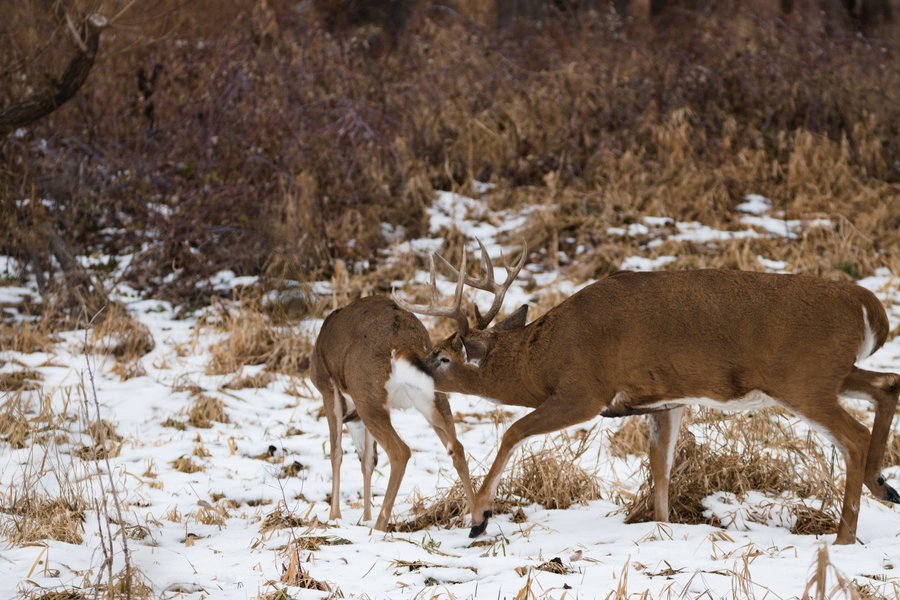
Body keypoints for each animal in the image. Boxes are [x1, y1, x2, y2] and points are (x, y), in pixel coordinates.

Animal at [310, 295, 476, 531]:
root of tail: (404, 343)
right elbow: (368, 460)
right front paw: (365, 517)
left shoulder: (328, 387)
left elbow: (336, 453)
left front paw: (335, 517)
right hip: (433, 394)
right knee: (457, 448)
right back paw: (478, 519)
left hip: (366, 394)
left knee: (400, 451)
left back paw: (379, 527)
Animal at [394, 240, 900, 544]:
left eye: (442, 356)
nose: (414, 367)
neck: (544, 357)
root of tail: (869, 307)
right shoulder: (665, 401)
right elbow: (660, 469)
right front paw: (662, 527)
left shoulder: (584, 390)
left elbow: (512, 432)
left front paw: (478, 519)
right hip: (831, 374)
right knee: (886, 385)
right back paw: (884, 486)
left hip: (803, 379)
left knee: (854, 435)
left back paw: (844, 536)